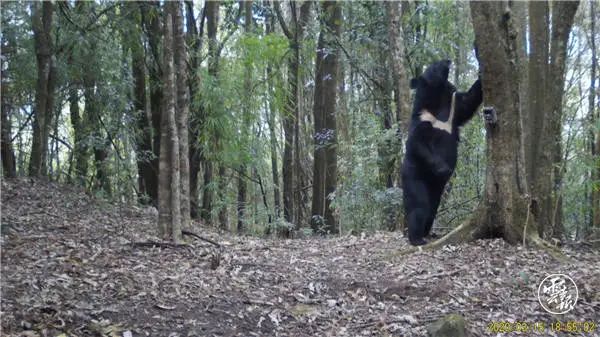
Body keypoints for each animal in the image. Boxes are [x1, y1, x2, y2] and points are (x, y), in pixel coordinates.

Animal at [404, 59, 482, 244]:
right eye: (434, 66)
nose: (447, 60)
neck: (437, 100)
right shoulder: (422, 120)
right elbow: (417, 143)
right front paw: (443, 168)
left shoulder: (454, 111)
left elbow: (469, 101)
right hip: (413, 173)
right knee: (419, 206)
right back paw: (416, 238)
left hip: (436, 189)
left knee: (432, 208)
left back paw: (427, 232)